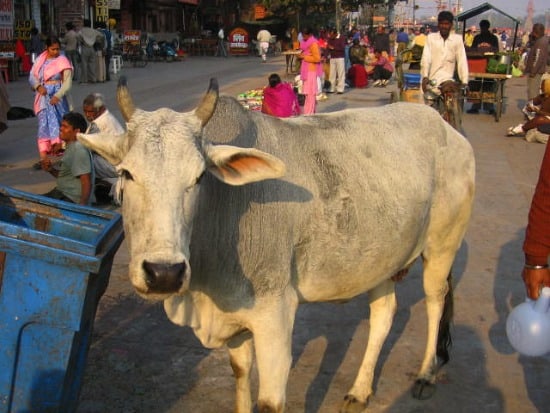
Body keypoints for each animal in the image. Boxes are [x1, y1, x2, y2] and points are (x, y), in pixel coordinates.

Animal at [80, 78, 476, 412]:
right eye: (126, 173)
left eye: (200, 177)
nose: (164, 273)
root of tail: (446, 127)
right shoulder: (235, 318)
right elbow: (241, 377)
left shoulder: (275, 315)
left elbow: (270, 402)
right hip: (381, 257)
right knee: (383, 314)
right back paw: (360, 390)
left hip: (442, 245)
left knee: (435, 300)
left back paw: (425, 374)